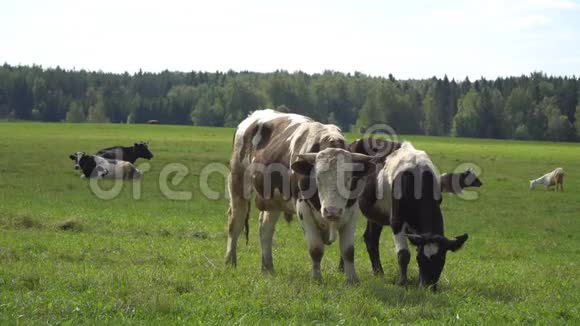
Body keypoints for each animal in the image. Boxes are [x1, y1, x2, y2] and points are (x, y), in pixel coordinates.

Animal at [224, 109, 374, 282]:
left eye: (349, 179)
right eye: (317, 178)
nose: (332, 211)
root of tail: (253, 115)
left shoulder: (352, 212)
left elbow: (348, 251)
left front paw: (352, 280)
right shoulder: (303, 210)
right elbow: (316, 249)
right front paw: (317, 279)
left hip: (273, 201)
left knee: (265, 230)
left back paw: (267, 267)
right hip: (238, 185)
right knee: (235, 224)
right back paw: (230, 262)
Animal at [346, 139, 468, 290]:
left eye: (441, 259)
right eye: (420, 259)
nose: (428, 286)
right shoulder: (397, 220)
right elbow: (403, 254)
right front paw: (402, 282)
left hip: (376, 213)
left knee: (371, 238)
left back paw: (379, 273)